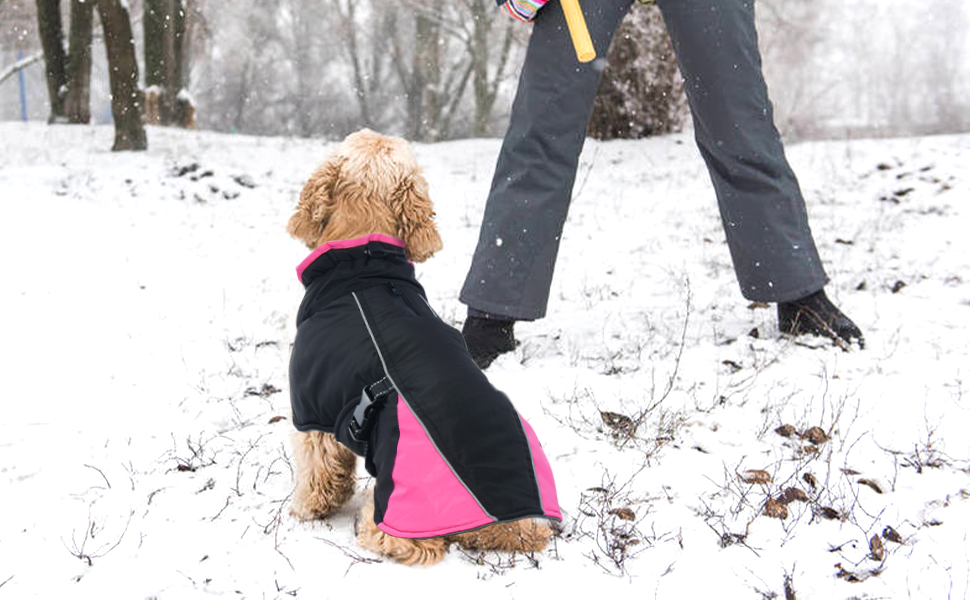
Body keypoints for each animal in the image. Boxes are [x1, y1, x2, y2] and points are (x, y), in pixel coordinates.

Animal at [286, 129, 560, 564]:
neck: (363, 266)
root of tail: (502, 521)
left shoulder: (311, 410)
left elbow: (320, 471)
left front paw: (305, 509)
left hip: (397, 514)